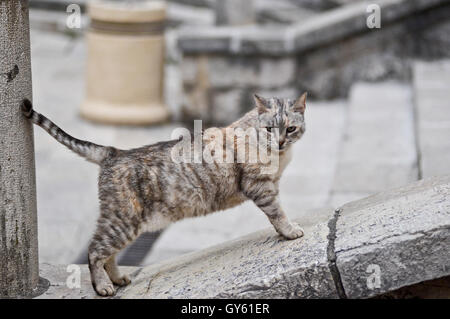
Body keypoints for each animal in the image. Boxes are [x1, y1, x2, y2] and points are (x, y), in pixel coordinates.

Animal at [22, 92, 308, 298]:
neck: (278, 155)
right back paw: (103, 286)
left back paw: (118, 278)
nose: (280, 141)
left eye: (291, 129)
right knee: (95, 251)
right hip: (123, 222)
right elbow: (278, 213)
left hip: (124, 222)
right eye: (270, 129)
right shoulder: (260, 187)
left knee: (109, 253)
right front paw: (290, 231)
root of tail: (113, 152)